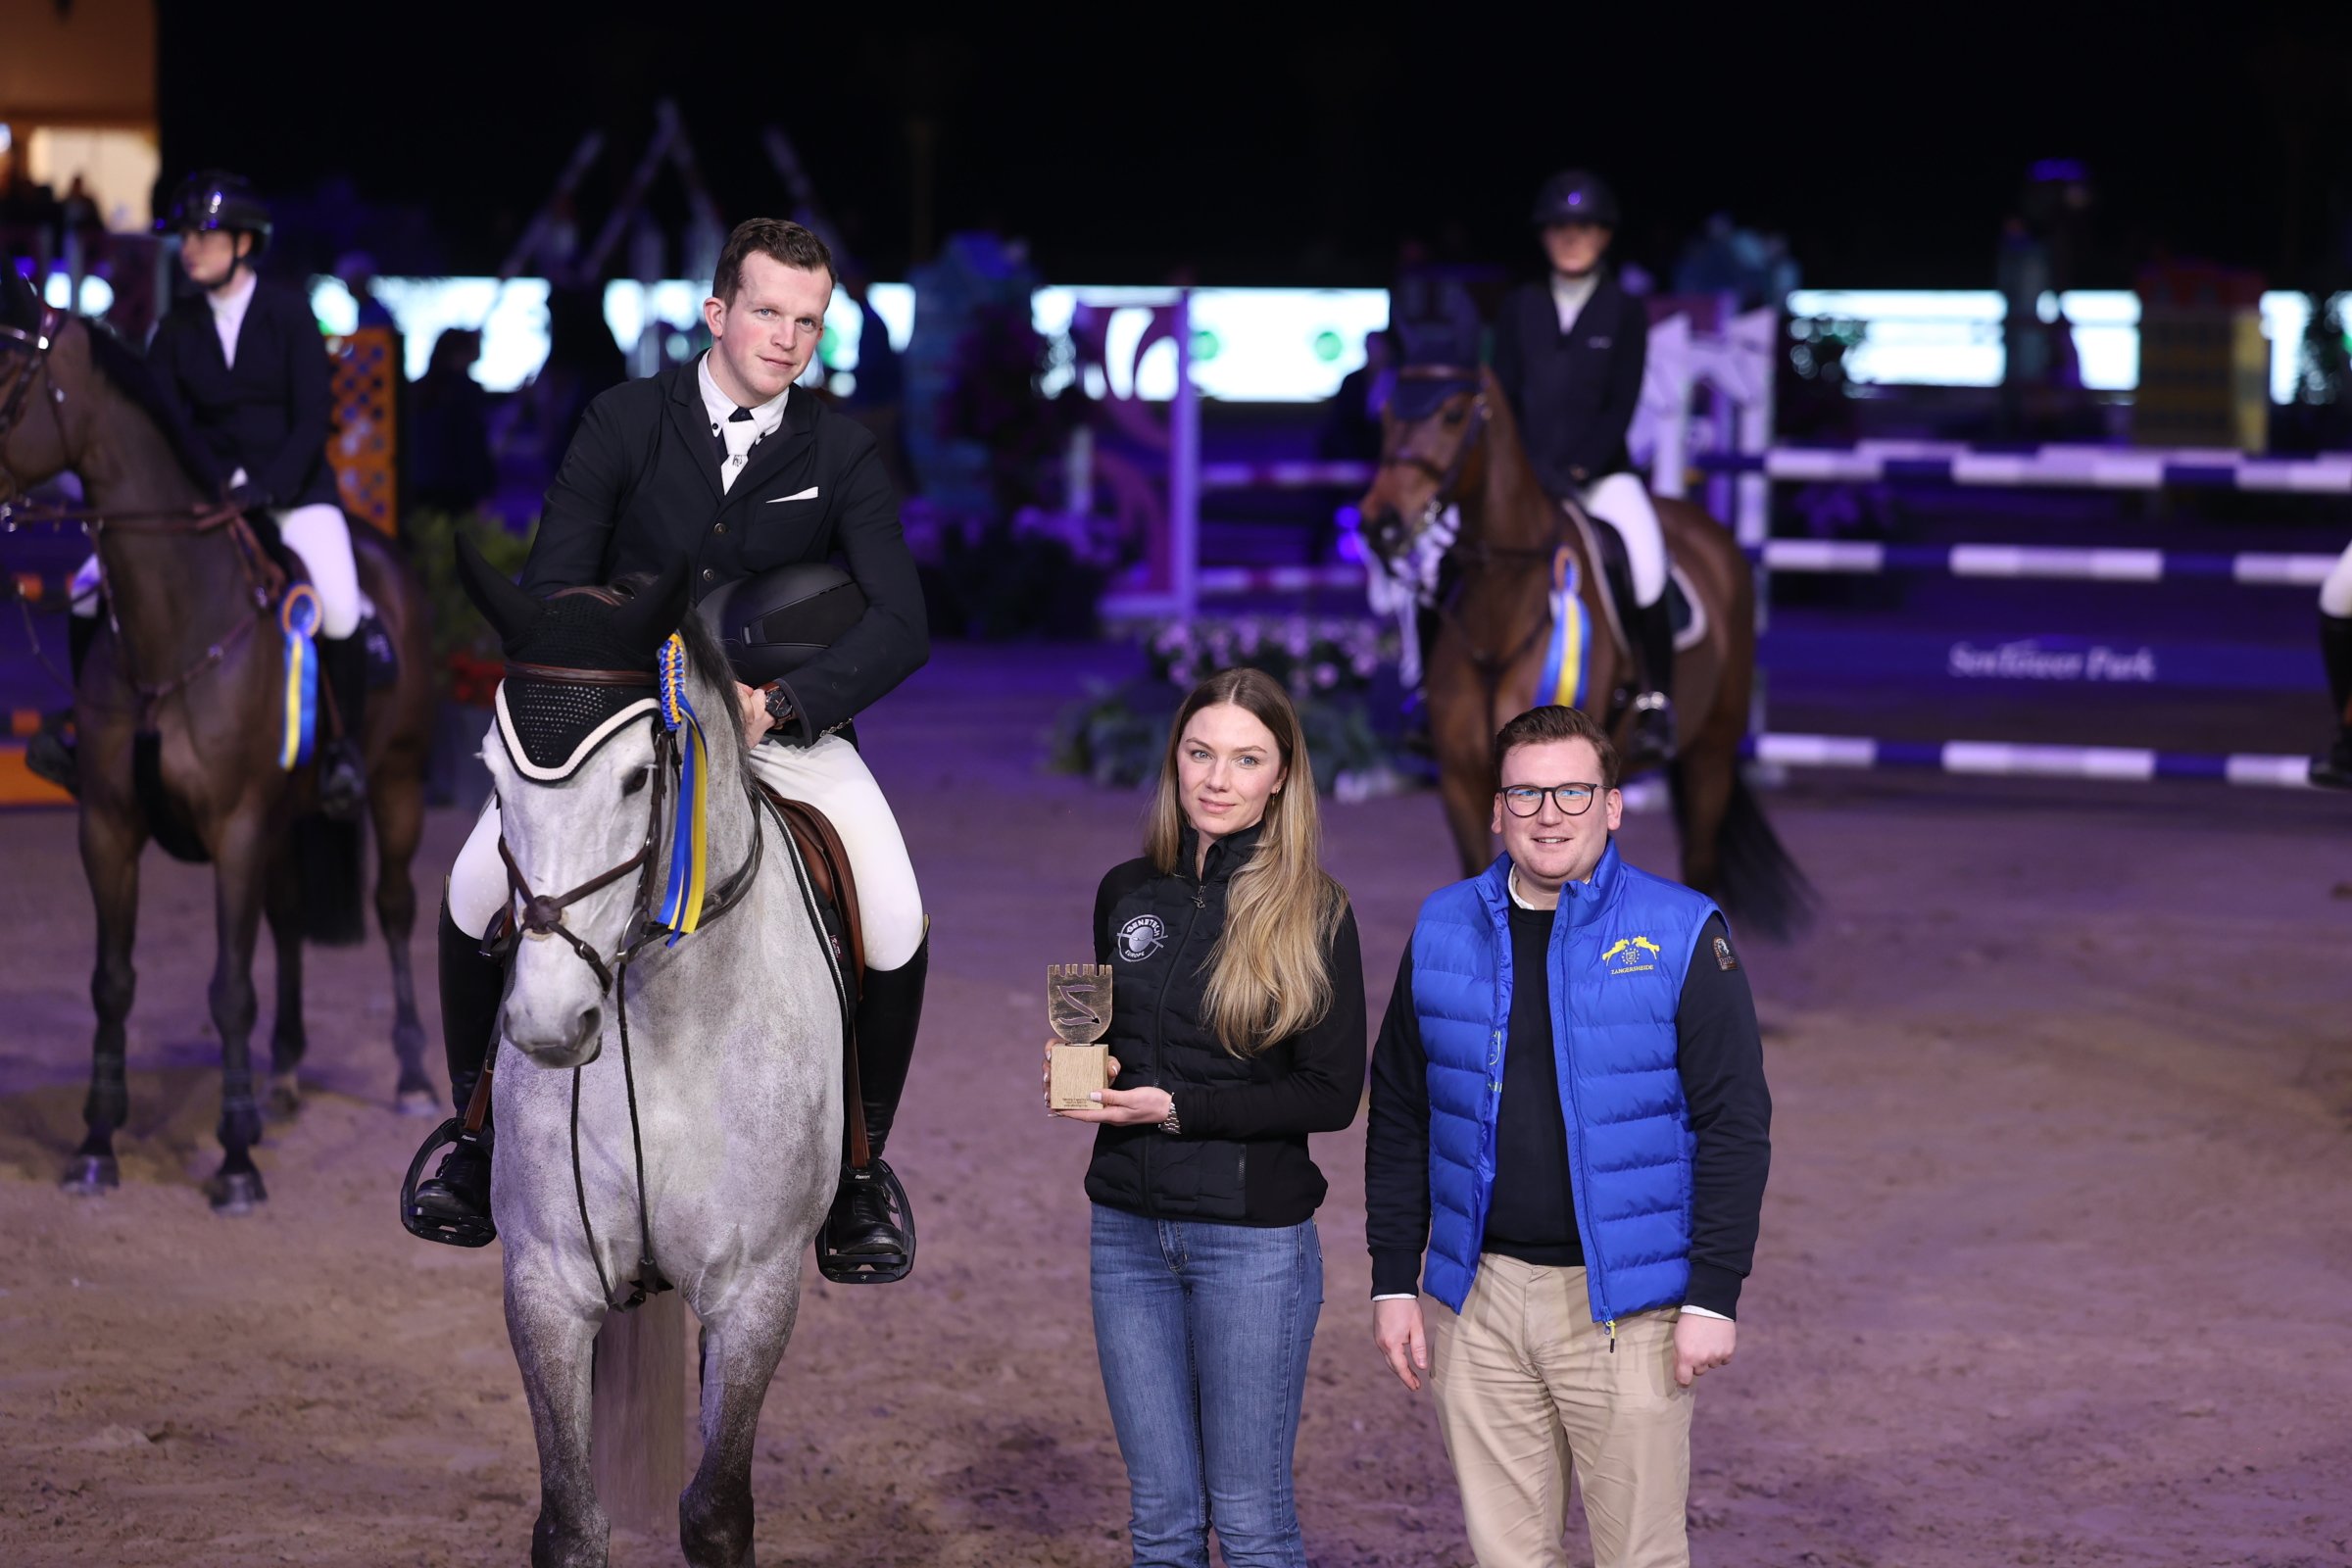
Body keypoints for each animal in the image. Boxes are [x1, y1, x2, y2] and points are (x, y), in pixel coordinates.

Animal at [0, 267, 438, 1211]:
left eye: (8, 377)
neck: (175, 627)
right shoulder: (110, 828)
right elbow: (112, 982)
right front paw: (96, 1143)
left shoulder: (235, 827)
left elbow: (228, 989)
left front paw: (235, 1162)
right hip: (286, 822)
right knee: (288, 917)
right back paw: (282, 1078)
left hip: (397, 784)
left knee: (393, 908)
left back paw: (413, 1077)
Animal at [454, 543, 843, 1567]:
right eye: (492, 779)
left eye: (636, 779)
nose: (550, 1024)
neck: (663, 1026)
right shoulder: (548, 1279)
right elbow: (570, 1520)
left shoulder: (754, 1293)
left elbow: (715, 1512)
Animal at [1357, 362, 1811, 938]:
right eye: (1388, 414)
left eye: (1454, 415)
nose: (1380, 523)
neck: (1501, 610)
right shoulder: (1461, 779)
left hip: (1712, 749)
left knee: (1699, 863)